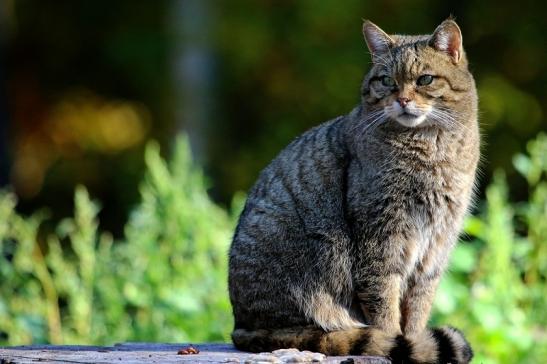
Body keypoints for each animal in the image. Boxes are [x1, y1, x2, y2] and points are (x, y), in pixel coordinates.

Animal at [229, 19, 482, 364]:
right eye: (387, 81)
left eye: (425, 79)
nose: (402, 100)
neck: (430, 148)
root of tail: (240, 328)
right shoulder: (380, 236)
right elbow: (384, 304)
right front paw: (393, 340)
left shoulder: (436, 246)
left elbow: (418, 309)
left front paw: (414, 339)